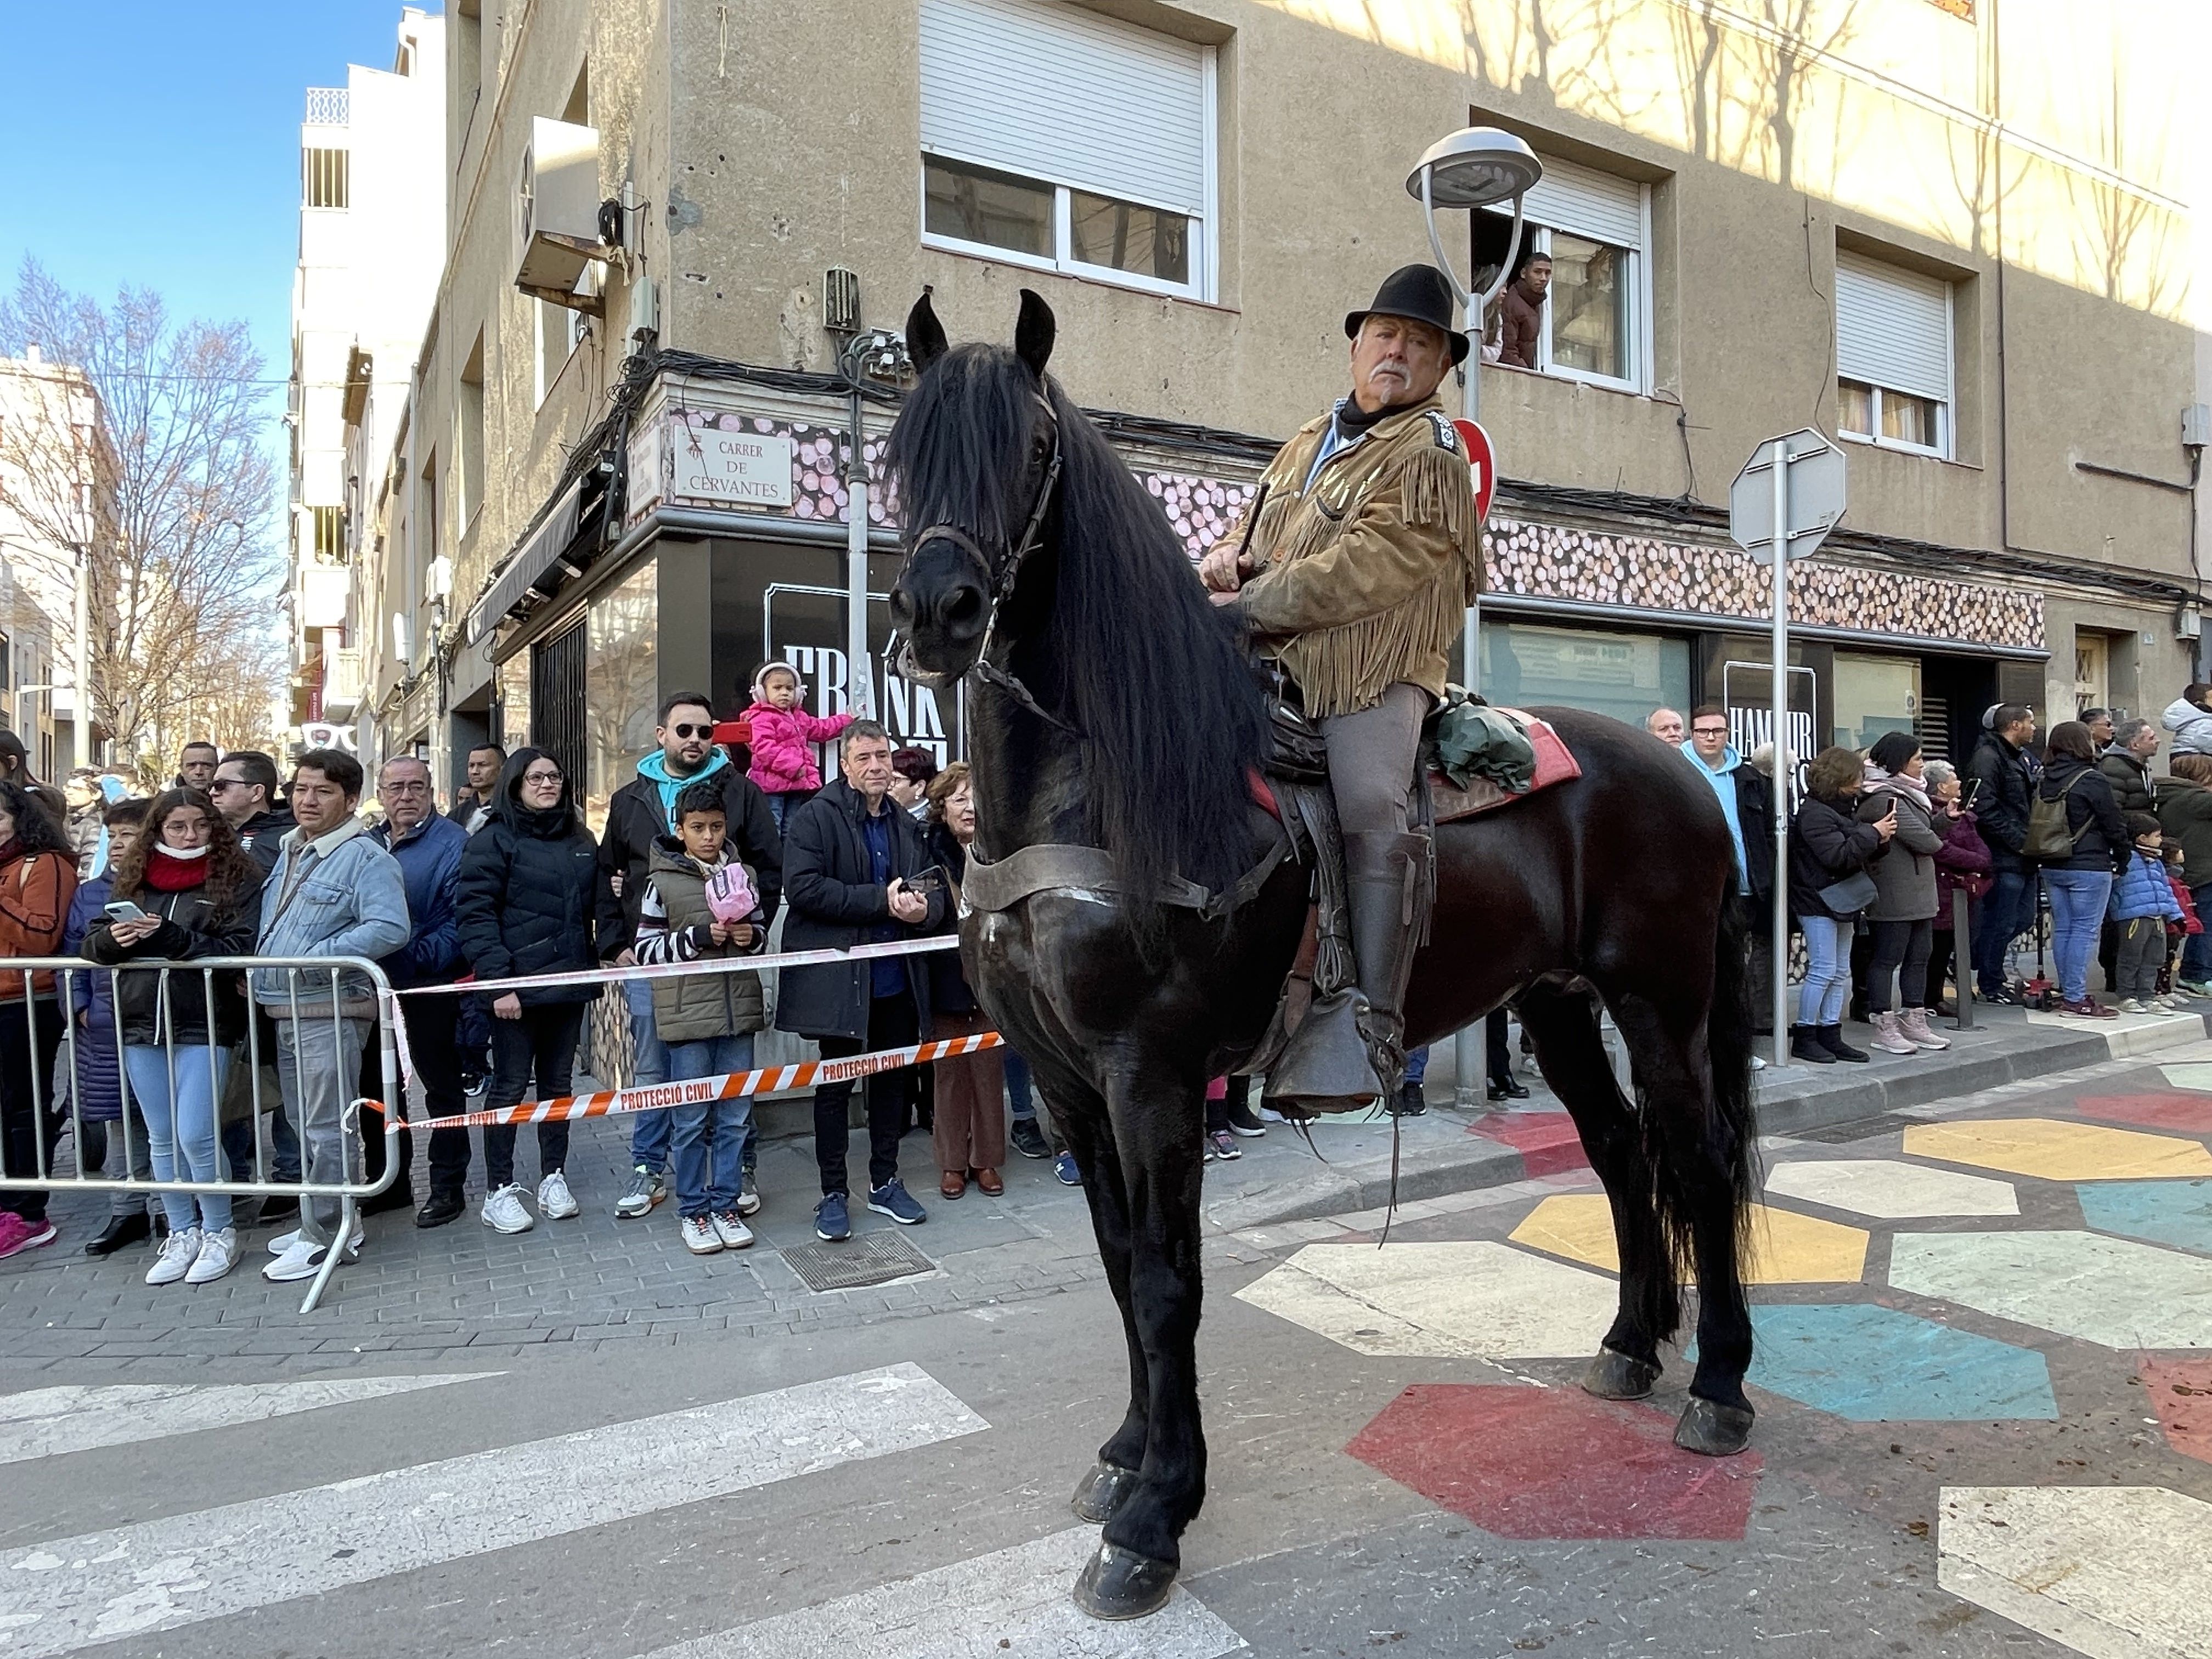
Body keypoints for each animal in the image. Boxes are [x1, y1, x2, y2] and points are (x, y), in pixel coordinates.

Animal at [880, 290, 1760, 1628]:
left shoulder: (1151, 1075)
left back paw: (1717, 1387)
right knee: (1619, 1156)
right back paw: (1628, 1342)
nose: (938, 612)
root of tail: (1691, 774)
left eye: (1026, 448)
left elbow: (1168, 1281)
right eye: (902, 442)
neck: (1103, 786)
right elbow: (1118, 1265)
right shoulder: (1073, 1087)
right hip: (1557, 1007)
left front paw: (1154, 1516)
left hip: (1662, 1002)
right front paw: (1128, 1454)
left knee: (1696, 1163)